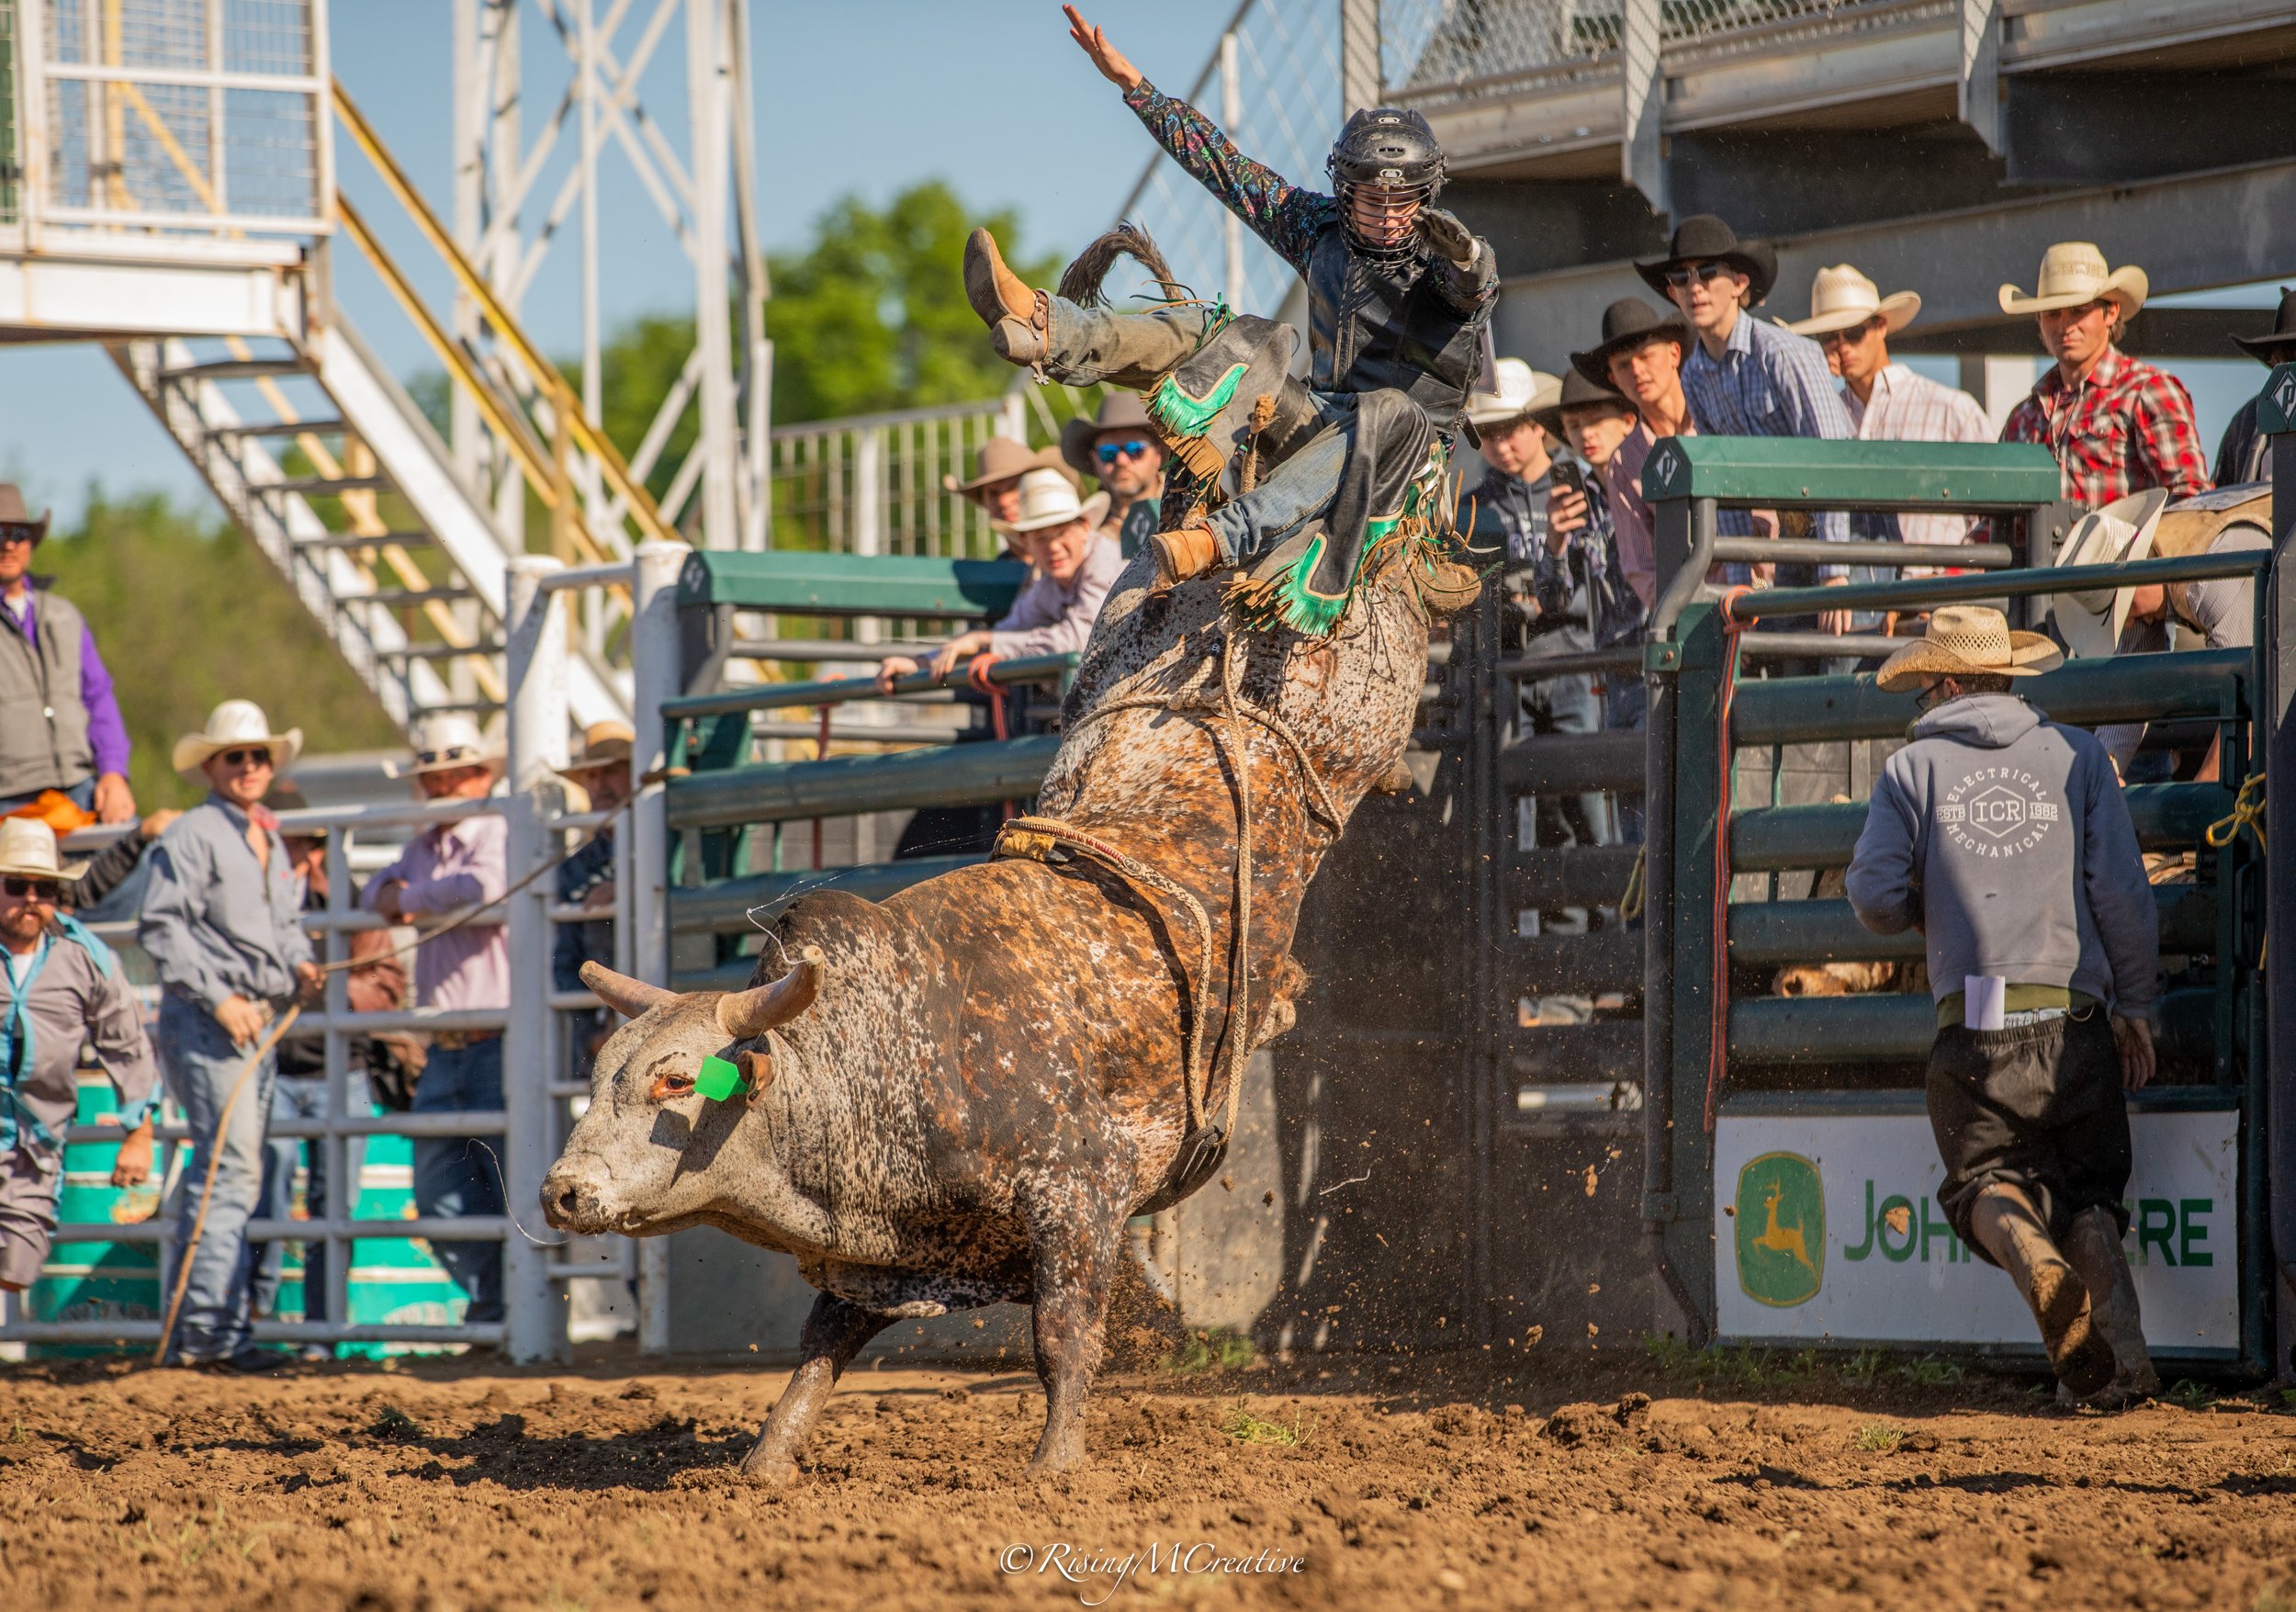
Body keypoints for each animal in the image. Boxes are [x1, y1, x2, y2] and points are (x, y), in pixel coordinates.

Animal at [541, 497, 1475, 1483]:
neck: (883, 1053)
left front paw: (1052, 1469)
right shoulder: (892, 1252)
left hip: (1359, 684)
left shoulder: (1079, 1197)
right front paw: (766, 1465)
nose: (562, 1191)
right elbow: (817, 1356)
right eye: (598, 1075)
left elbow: (1063, 1340)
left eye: (676, 1079)